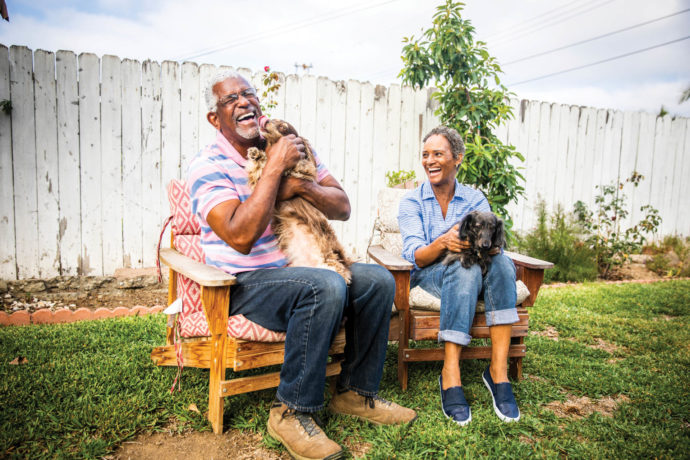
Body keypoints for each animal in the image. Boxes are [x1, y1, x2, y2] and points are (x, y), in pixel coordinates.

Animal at [245, 117, 352, 282]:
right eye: (274, 119)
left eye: (283, 126)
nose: (266, 120)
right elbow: (260, 169)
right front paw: (256, 155)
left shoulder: (301, 171)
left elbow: (295, 167)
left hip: (330, 259)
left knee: (340, 272)